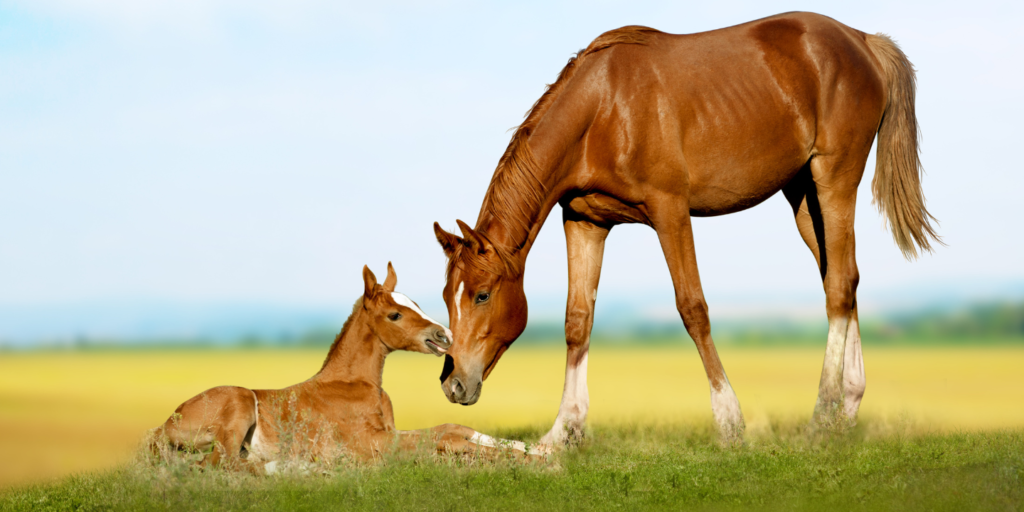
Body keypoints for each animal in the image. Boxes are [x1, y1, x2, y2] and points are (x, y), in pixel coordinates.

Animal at [151, 264, 540, 468]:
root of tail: (162, 427)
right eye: (395, 314)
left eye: (414, 302)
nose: (444, 335)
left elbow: (452, 426)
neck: (354, 386)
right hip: (240, 401)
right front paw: (536, 463)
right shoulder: (373, 443)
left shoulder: (390, 432)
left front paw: (538, 450)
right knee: (223, 464)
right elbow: (445, 438)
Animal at [428, 12, 937, 444]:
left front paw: (730, 423)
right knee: (844, 281)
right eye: (447, 296)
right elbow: (578, 320)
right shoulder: (585, 221)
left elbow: (693, 308)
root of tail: (862, 40)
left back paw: (823, 412)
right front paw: (562, 432)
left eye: (482, 295)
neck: (603, 110)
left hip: (834, 178)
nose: (453, 384)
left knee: (838, 284)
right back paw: (845, 411)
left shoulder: (669, 210)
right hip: (802, 195)